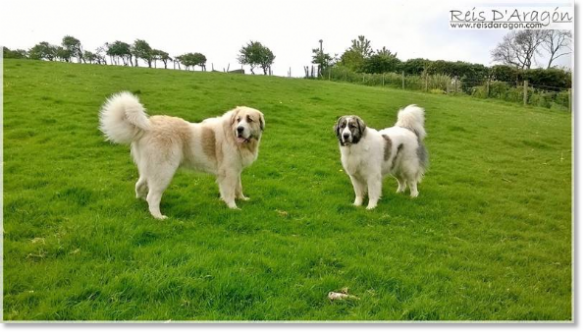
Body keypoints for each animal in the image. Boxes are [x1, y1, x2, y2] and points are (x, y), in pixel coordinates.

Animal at [100, 92, 264, 219]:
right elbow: (229, 191)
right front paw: (233, 207)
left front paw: (242, 199)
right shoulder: (228, 173)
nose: (239, 129)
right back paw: (159, 217)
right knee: (152, 196)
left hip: (150, 170)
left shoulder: (235, 171)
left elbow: (238, 187)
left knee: (139, 185)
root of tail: (147, 126)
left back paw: (141, 201)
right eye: (238, 120)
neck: (232, 135)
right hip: (164, 171)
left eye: (249, 119)